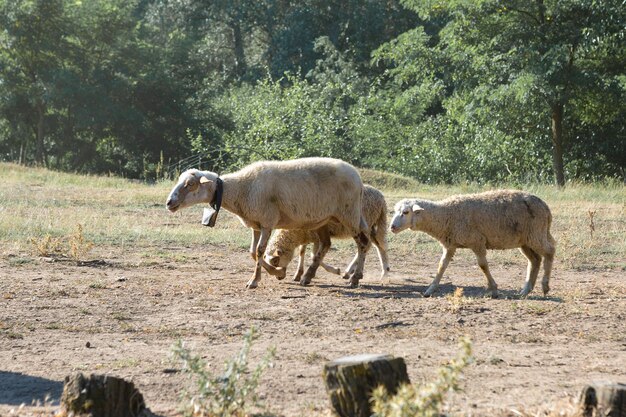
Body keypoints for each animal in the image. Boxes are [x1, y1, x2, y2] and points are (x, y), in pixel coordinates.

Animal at [166, 157, 370, 290]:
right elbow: (252, 252)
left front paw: (255, 281)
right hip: (323, 220)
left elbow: (259, 251)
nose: (169, 203)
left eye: (190, 184)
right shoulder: (256, 224)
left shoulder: (267, 221)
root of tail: (358, 177)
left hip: (349, 214)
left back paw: (355, 278)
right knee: (326, 244)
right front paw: (278, 272)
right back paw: (307, 277)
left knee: (363, 243)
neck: (240, 189)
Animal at [390, 190, 556, 298]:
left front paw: (494, 289)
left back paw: (545, 286)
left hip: (536, 233)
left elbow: (483, 266)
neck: (446, 214)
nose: (391, 227)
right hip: (525, 240)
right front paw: (430, 290)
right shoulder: (450, 244)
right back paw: (526, 290)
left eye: (405, 212)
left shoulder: (477, 242)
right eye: (395, 211)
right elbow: (441, 266)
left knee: (550, 251)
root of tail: (546, 207)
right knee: (535, 260)